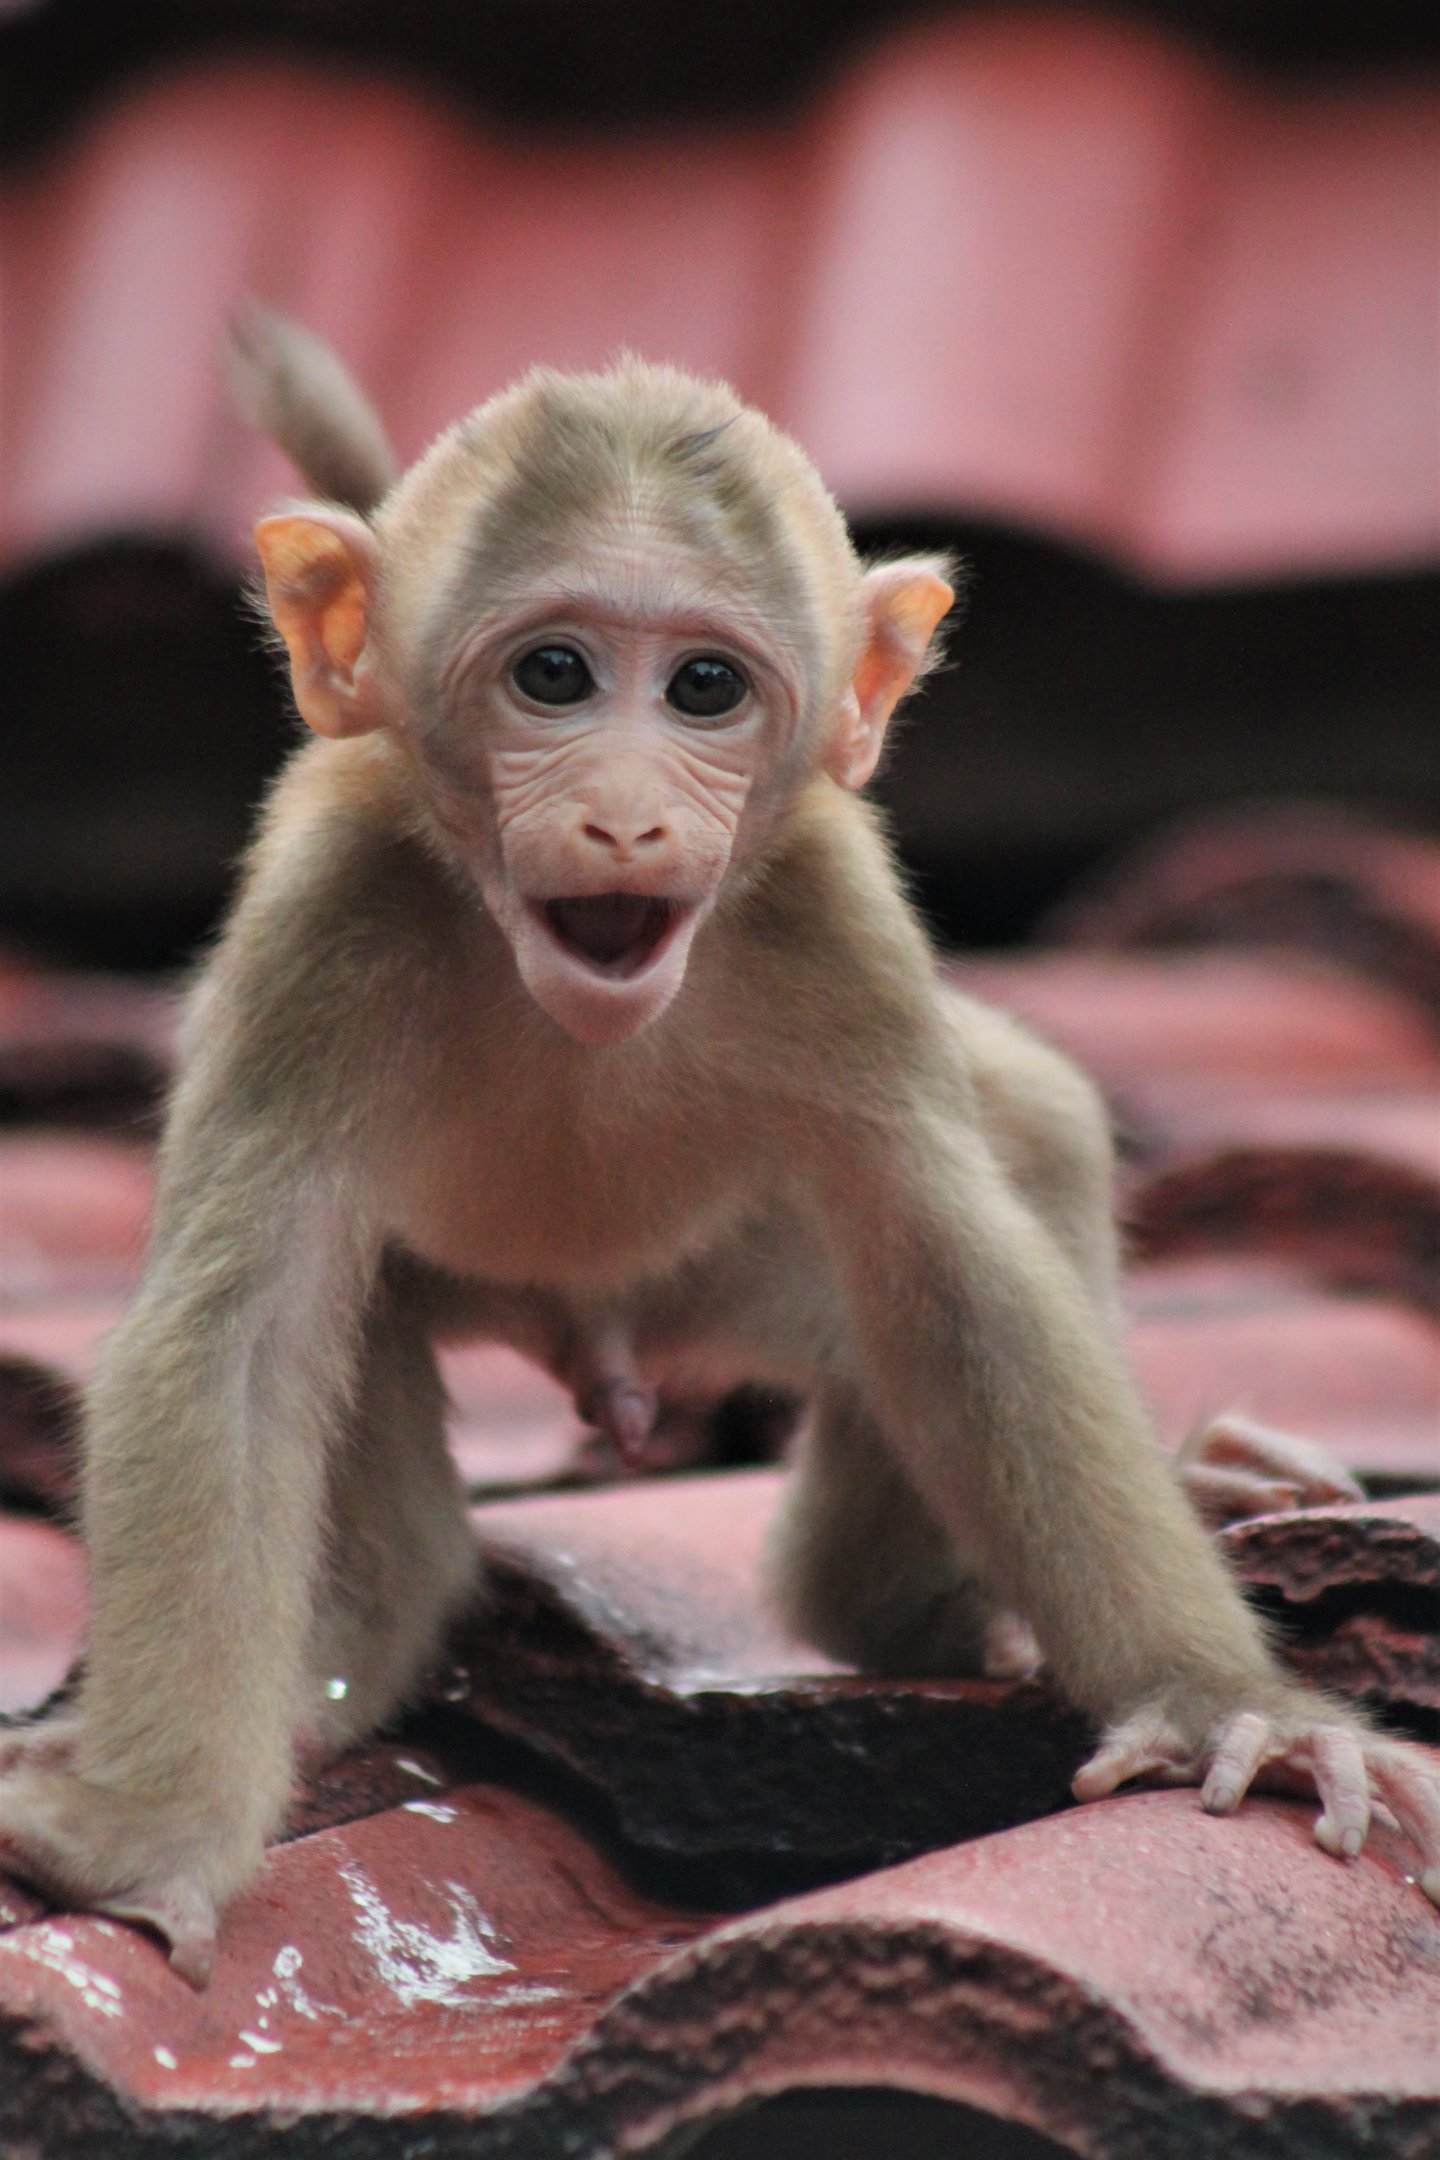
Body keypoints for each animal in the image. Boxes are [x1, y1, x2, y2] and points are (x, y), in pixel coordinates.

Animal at [0, 309, 1435, 1987]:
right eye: (555, 674)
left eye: (702, 688)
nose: (625, 821)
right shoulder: (323, 922)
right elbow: (241, 1336)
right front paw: (146, 1832)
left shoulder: (832, 913)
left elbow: (954, 1278)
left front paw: (1229, 1708)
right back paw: (345, 1660)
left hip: (748, 1275)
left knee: (1025, 1124)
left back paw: (925, 1596)